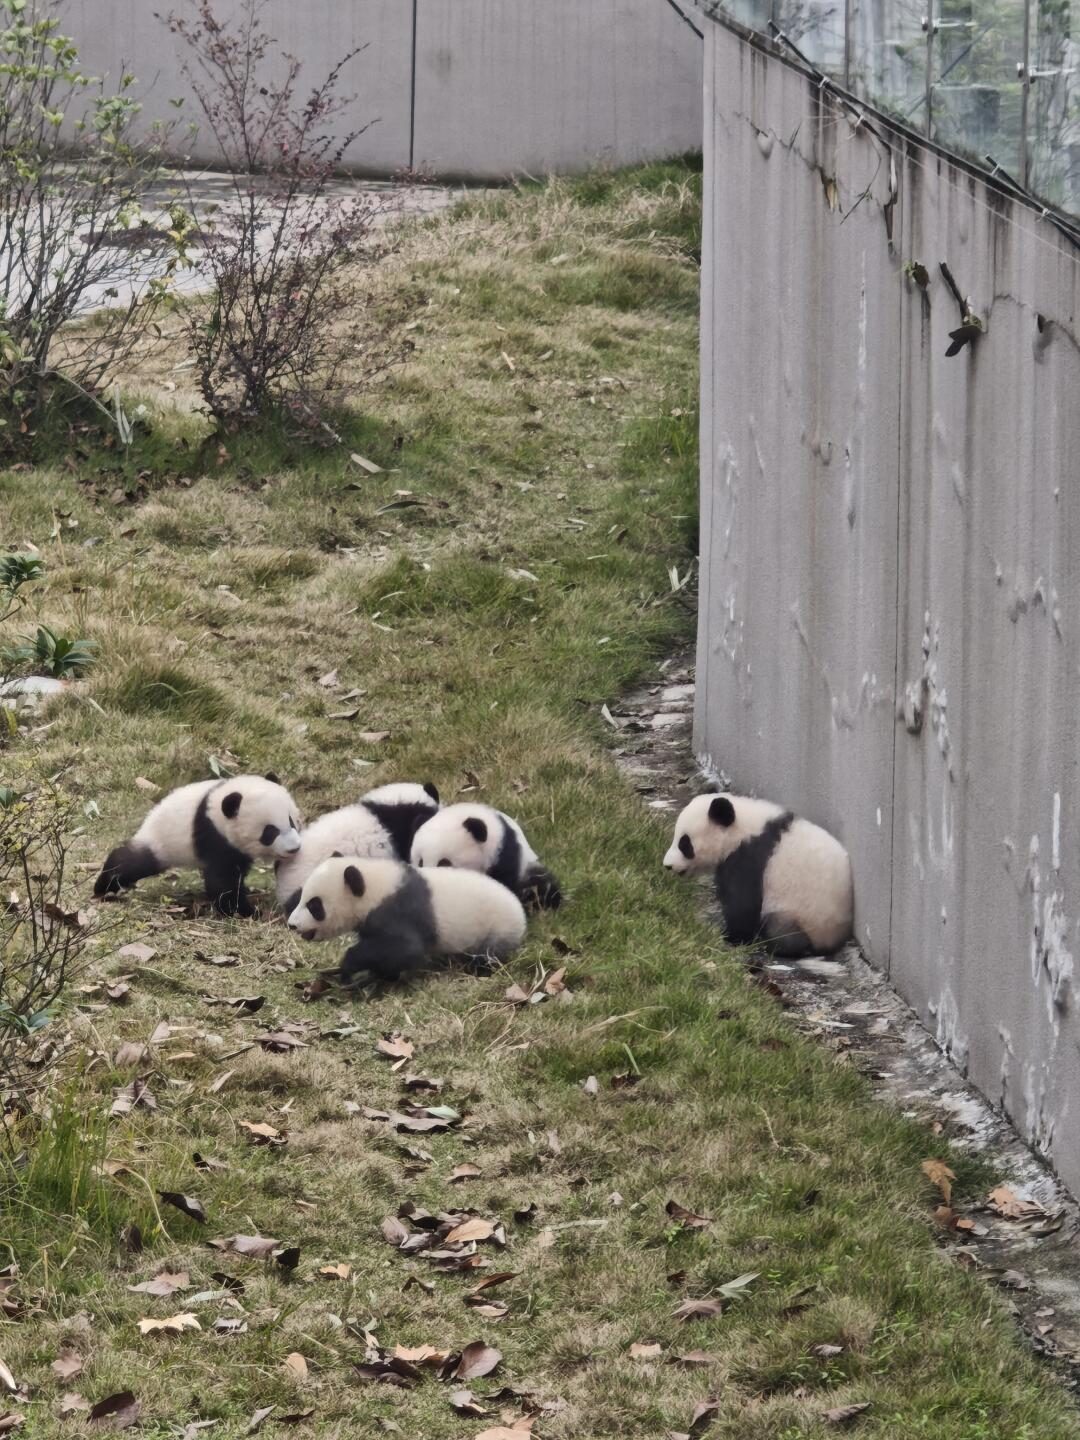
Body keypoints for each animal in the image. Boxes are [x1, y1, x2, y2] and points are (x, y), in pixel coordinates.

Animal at [94, 774, 302, 918]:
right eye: (270, 832)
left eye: (292, 821)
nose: (294, 848)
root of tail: (149, 820)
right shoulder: (212, 833)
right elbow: (222, 878)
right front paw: (244, 911)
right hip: (162, 842)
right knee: (134, 862)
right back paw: (104, 886)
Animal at [287, 855, 527, 983]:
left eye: (314, 905)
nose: (292, 924)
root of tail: (521, 914)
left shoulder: (399, 910)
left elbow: (406, 948)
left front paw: (349, 969)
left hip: (496, 929)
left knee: (489, 955)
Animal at [663, 793, 853, 957]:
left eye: (684, 844)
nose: (667, 866)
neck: (742, 829)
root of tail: (831, 942)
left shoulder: (749, 857)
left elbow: (742, 903)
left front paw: (731, 936)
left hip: (804, 915)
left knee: (780, 930)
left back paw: (774, 945)